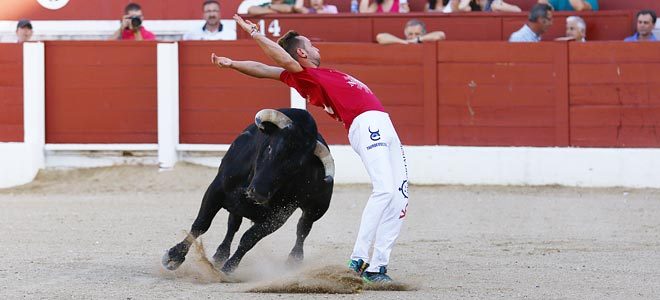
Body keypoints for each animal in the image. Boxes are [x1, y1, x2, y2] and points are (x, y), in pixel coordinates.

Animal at [160, 108, 336, 274]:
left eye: (296, 169)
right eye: (270, 148)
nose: (258, 193)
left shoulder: (276, 218)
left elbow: (248, 239)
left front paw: (229, 267)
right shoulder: (216, 190)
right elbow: (201, 223)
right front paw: (174, 257)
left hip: (317, 209)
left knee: (303, 228)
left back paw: (294, 259)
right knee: (232, 225)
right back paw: (220, 254)